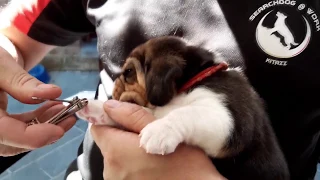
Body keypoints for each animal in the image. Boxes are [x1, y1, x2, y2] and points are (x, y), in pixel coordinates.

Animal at [77, 36, 290, 180]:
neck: (196, 77)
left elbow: (187, 113)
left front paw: (160, 131)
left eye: (128, 72)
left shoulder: (229, 120)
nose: (114, 88)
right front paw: (96, 108)